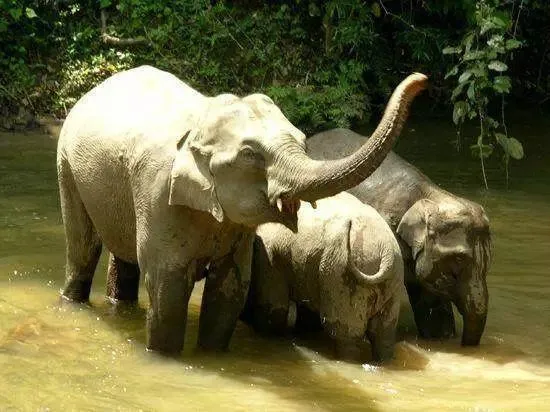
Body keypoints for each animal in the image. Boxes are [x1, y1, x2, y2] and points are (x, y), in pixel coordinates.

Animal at [244, 192, 408, 362]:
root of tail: (387, 252)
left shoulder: (271, 256)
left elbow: (274, 309)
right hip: (390, 281)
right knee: (383, 333)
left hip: (341, 272)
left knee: (345, 332)